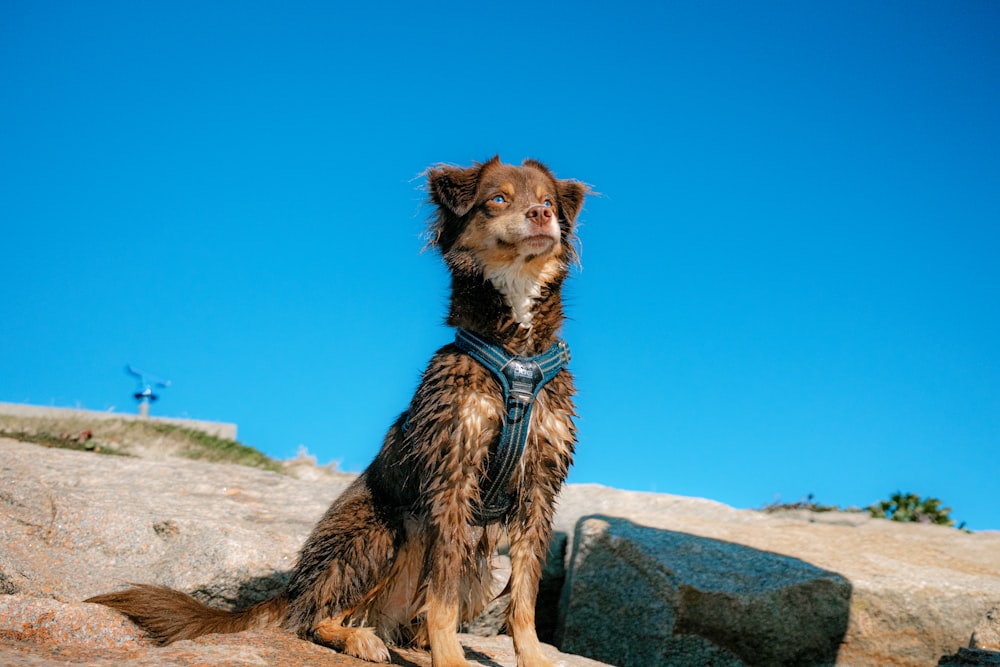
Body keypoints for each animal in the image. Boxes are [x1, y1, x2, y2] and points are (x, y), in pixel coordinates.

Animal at [88, 158, 584, 667]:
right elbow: (441, 598)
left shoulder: (539, 486)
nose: (542, 215)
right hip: (384, 529)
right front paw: (449, 660)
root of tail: (294, 586)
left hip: (475, 568)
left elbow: (524, 596)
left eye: (547, 200)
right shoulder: (453, 476)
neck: (517, 355)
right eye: (498, 199)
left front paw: (534, 658)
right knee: (311, 618)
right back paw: (358, 638)